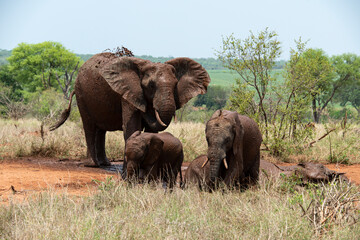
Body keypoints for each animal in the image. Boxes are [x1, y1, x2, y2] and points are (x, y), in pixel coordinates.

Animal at [49, 52, 210, 167]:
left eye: (175, 84)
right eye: (151, 85)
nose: (147, 110)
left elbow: (152, 132)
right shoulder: (128, 95)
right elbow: (131, 127)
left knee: (100, 130)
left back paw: (104, 164)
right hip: (82, 94)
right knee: (89, 126)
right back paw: (92, 165)